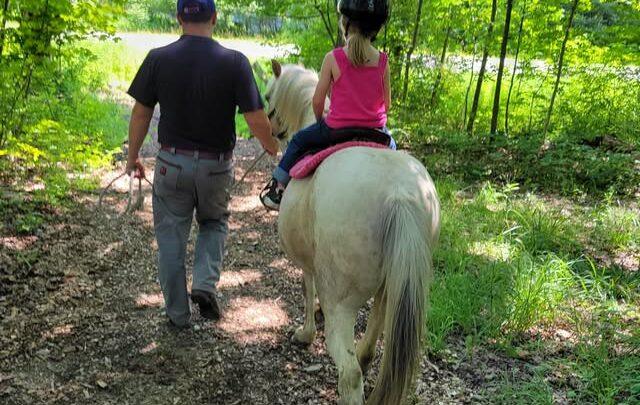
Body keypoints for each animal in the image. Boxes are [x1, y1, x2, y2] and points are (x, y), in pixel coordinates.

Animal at [265, 61, 441, 405]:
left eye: (268, 97)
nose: (274, 131)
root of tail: (399, 195)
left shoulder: (308, 264)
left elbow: (307, 290)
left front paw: (305, 333)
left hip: (342, 304)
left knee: (350, 373)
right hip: (390, 289)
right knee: (370, 347)